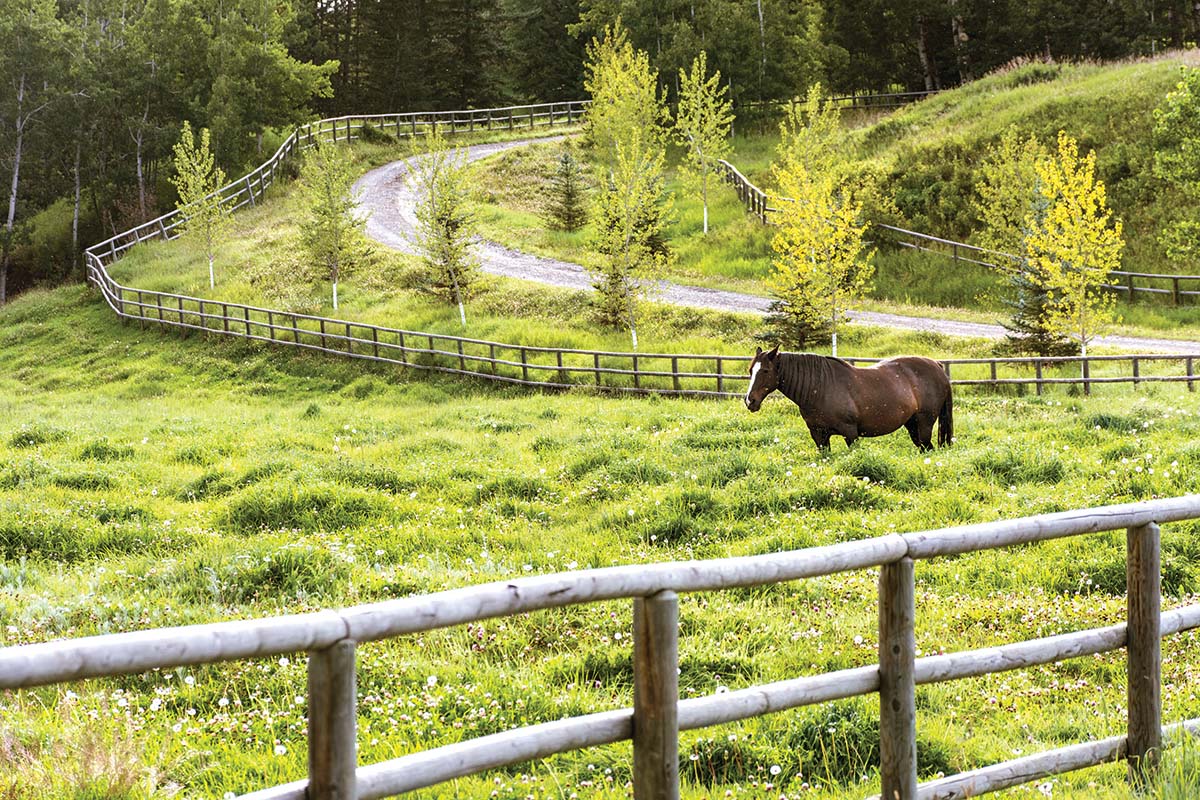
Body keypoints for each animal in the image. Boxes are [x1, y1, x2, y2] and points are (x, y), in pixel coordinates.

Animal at [743, 346, 953, 452]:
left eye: (765, 371)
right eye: (750, 370)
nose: (750, 401)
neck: (820, 388)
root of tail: (937, 365)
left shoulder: (850, 434)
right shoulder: (819, 436)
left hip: (924, 424)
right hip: (912, 426)